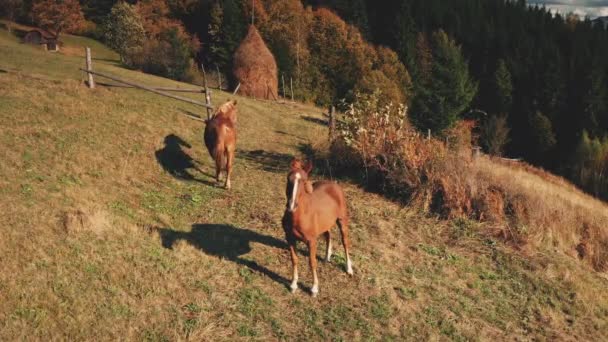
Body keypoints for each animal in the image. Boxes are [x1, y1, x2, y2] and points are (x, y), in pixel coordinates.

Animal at [280, 159, 352, 296]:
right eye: (288, 178)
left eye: (304, 181)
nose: (291, 206)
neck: (299, 216)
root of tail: (332, 183)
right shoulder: (290, 238)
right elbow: (294, 259)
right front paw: (293, 285)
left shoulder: (311, 241)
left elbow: (312, 262)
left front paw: (314, 289)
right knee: (328, 234)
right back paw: (326, 257)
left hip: (342, 220)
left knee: (345, 241)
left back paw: (349, 268)